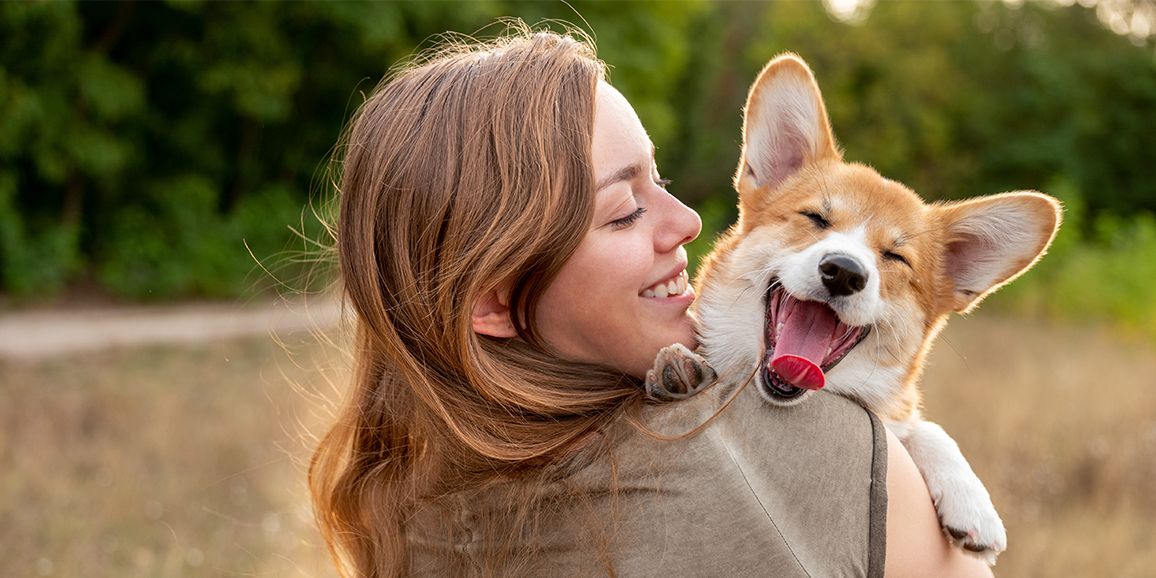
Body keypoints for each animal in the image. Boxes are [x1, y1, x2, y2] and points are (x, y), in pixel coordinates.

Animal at [647, 55, 1058, 564]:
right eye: (815, 219)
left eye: (895, 257)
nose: (843, 271)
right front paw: (678, 367)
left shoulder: (895, 415)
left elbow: (924, 428)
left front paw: (973, 504)